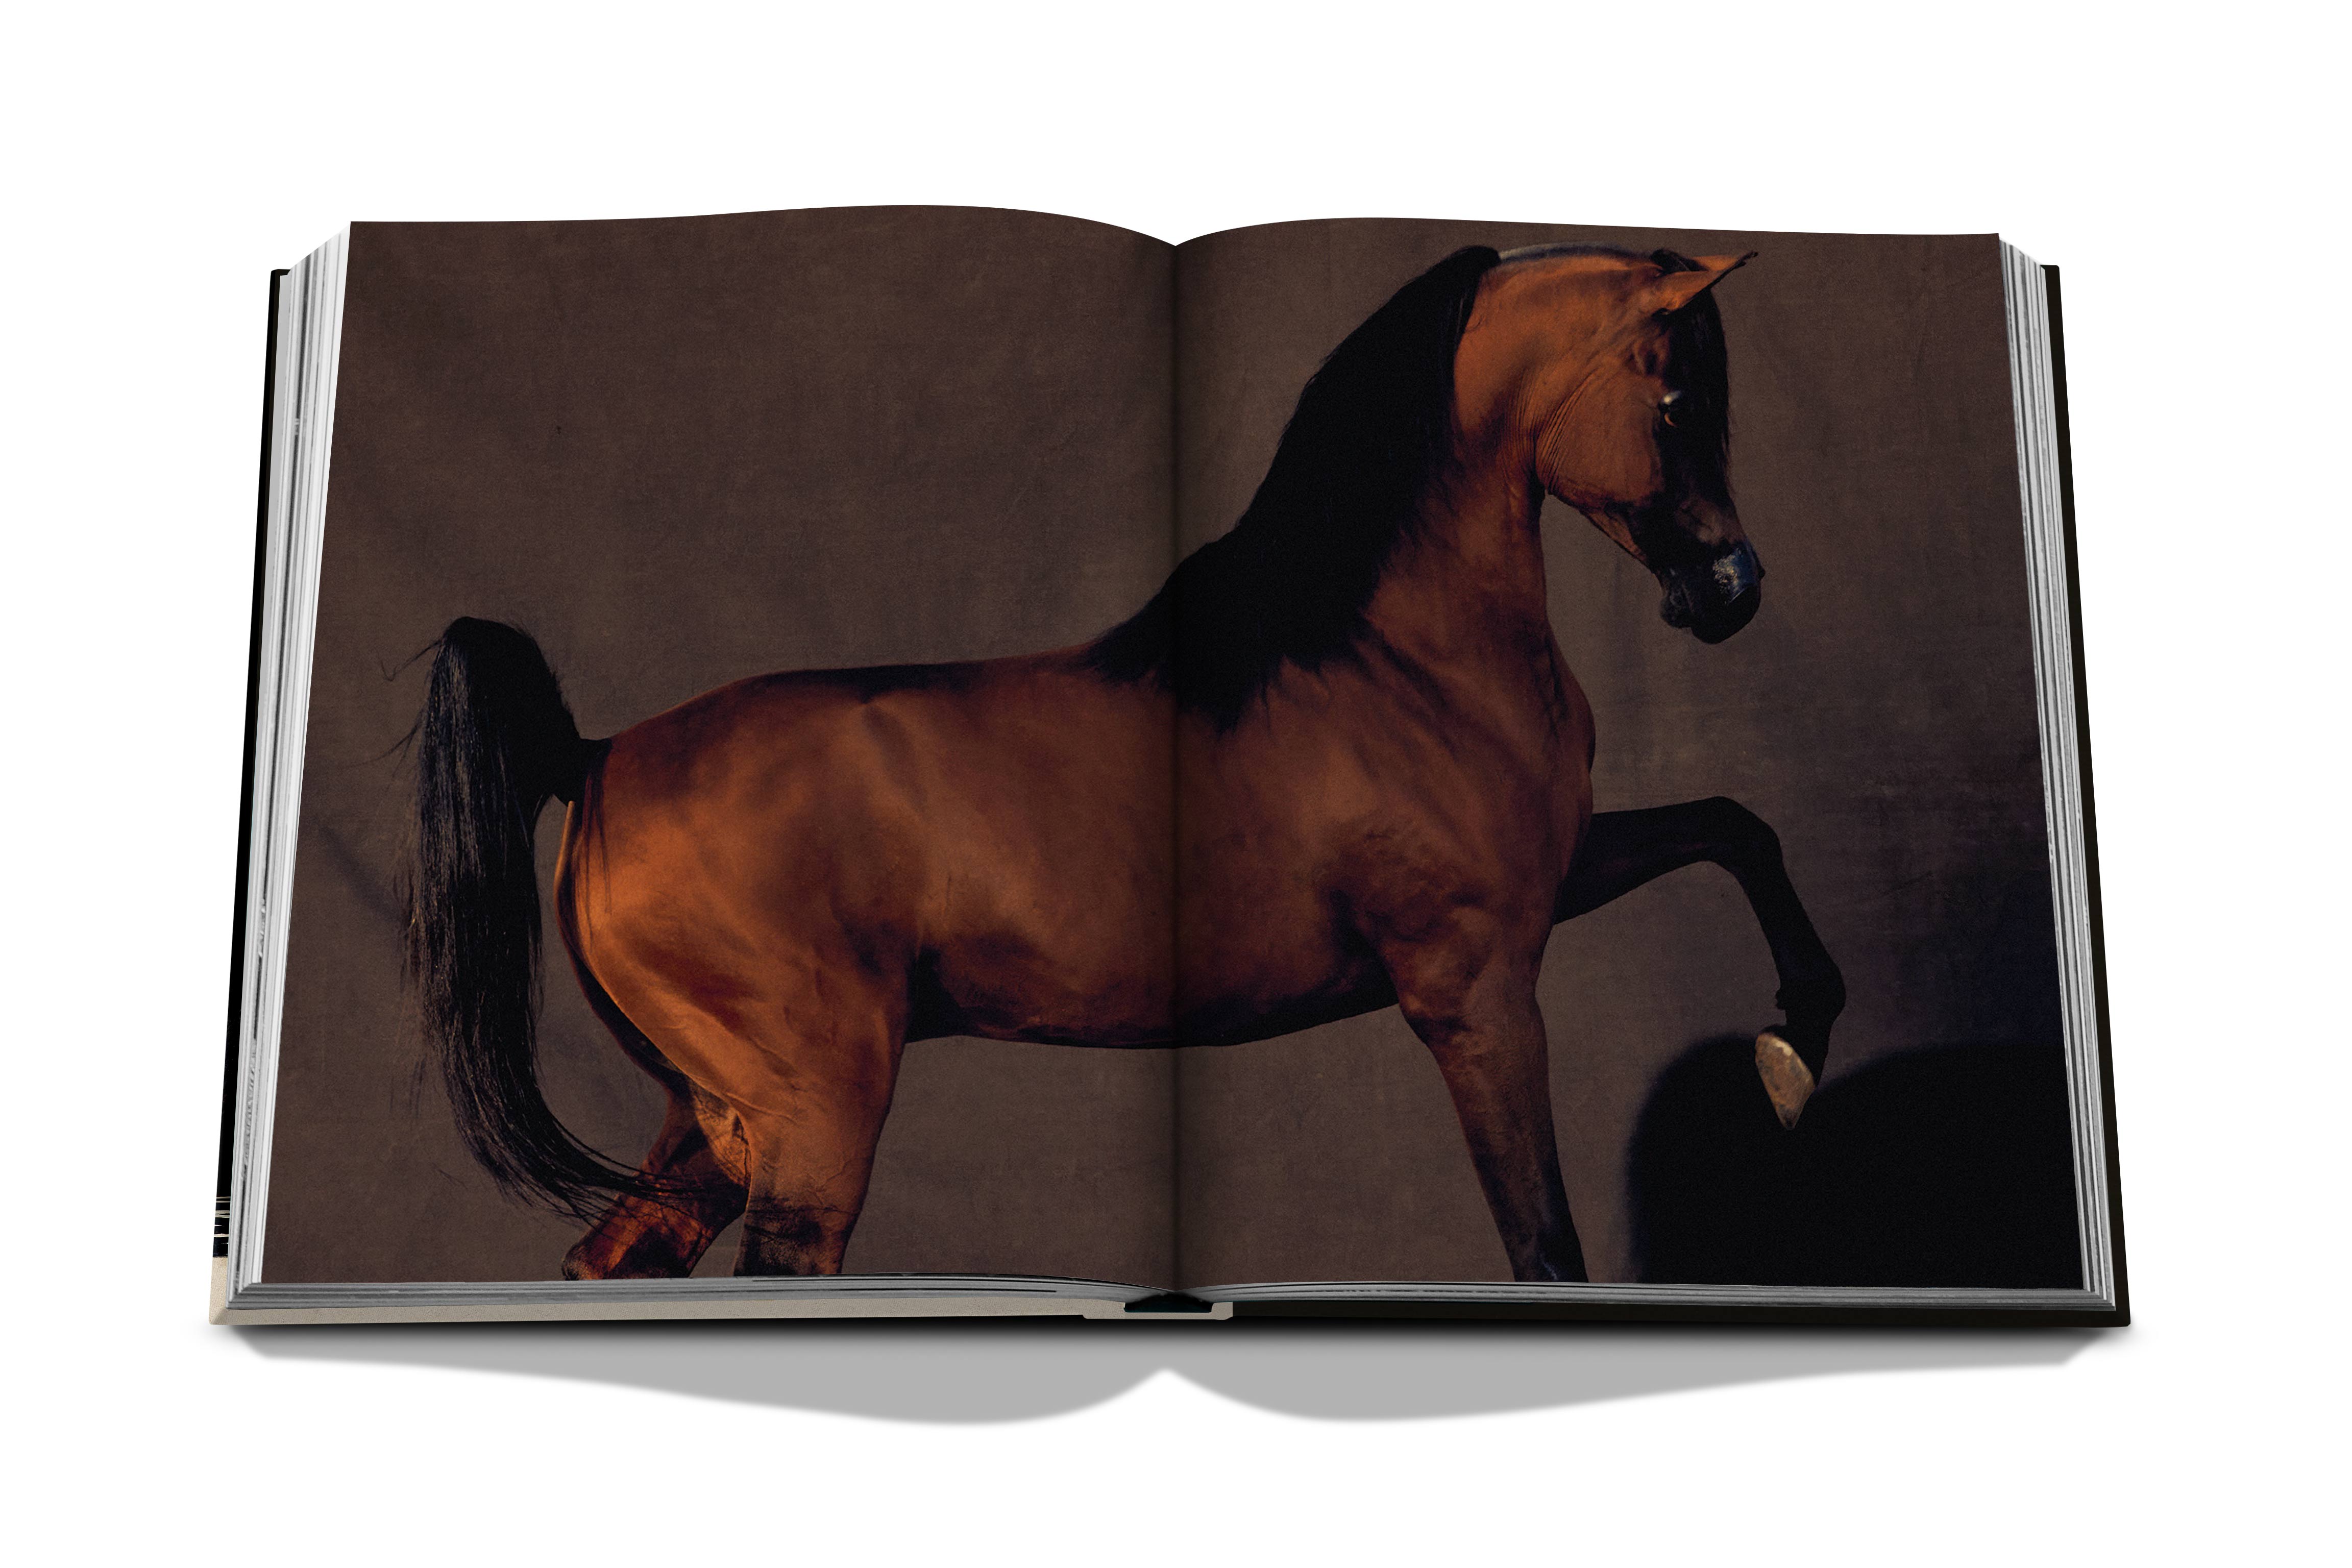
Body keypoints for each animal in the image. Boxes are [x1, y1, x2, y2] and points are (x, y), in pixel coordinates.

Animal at [405, 242, 1846, 1285]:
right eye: (1677, 397)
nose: (1732, 590)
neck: (1389, 656)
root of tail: (598, 756)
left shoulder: (1559, 880)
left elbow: (1737, 824)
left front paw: (1794, 1049)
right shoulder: (1478, 992)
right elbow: (1544, 1244)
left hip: (710, 1117)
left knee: (614, 1259)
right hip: (810, 1111)